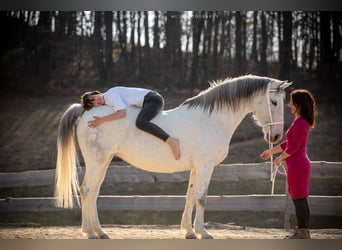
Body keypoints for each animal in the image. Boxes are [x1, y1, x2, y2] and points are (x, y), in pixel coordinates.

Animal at [55, 74, 292, 238]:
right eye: (274, 102)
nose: (276, 136)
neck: (212, 119)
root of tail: (85, 112)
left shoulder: (196, 168)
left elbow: (190, 196)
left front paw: (189, 231)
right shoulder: (206, 166)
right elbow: (201, 198)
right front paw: (203, 232)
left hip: (103, 162)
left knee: (93, 193)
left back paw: (100, 231)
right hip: (97, 162)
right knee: (87, 191)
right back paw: (90, 233)